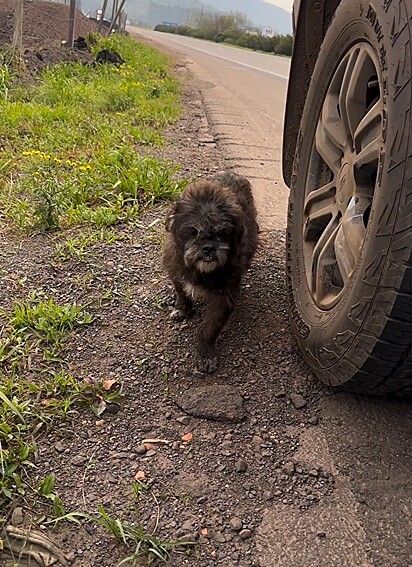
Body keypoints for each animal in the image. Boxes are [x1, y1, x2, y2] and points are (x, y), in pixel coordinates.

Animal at [163, 172, 258, 372]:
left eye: (222, 232)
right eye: (193, 231)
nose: (208, 248)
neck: (199, 270)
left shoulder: (223, 298)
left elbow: (209, 329)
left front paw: (205, 353)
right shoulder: (175, 271)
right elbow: (181, 292)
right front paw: (182, 309)